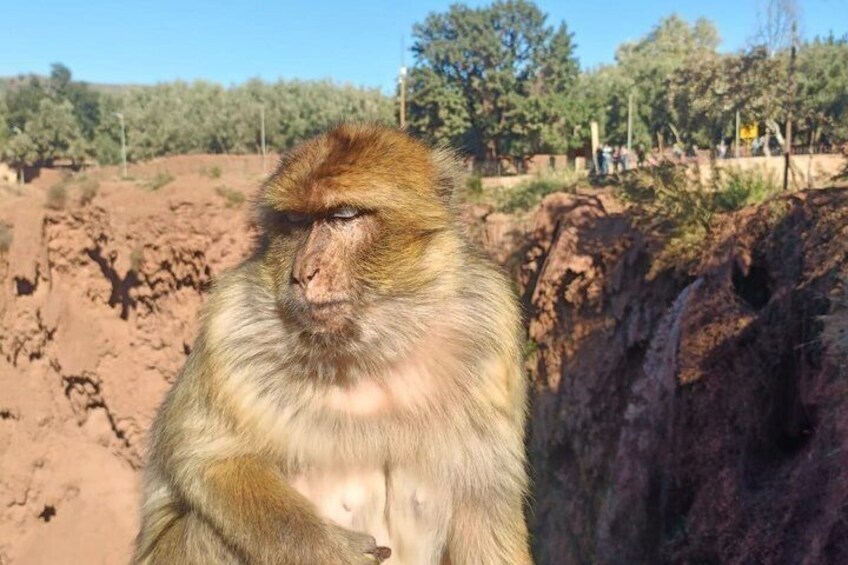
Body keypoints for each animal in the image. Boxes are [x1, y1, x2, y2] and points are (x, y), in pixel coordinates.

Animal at [133, 123, 531, 565]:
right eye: (295, 221)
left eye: (342, 216)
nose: (303, 273)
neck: (373, 347)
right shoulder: (228, 328)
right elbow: (208, 460)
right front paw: (328, 551)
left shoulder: (490, 326)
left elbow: (484, 512)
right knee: (209, 531)